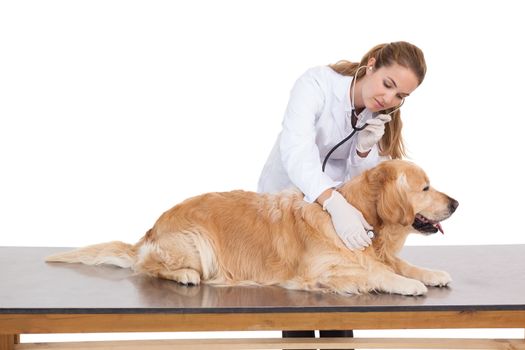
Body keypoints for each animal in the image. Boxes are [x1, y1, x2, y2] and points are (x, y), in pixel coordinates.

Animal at [47, 161, 456, 296]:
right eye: (425, 188)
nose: (456, 203)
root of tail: (150, 232)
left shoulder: (378, 253)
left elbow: (398, 264)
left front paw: (431, 273)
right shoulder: (322, 271)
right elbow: (376, 272)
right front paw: (407, 284)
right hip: (195, 242)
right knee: (149, 267)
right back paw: (184, 276)